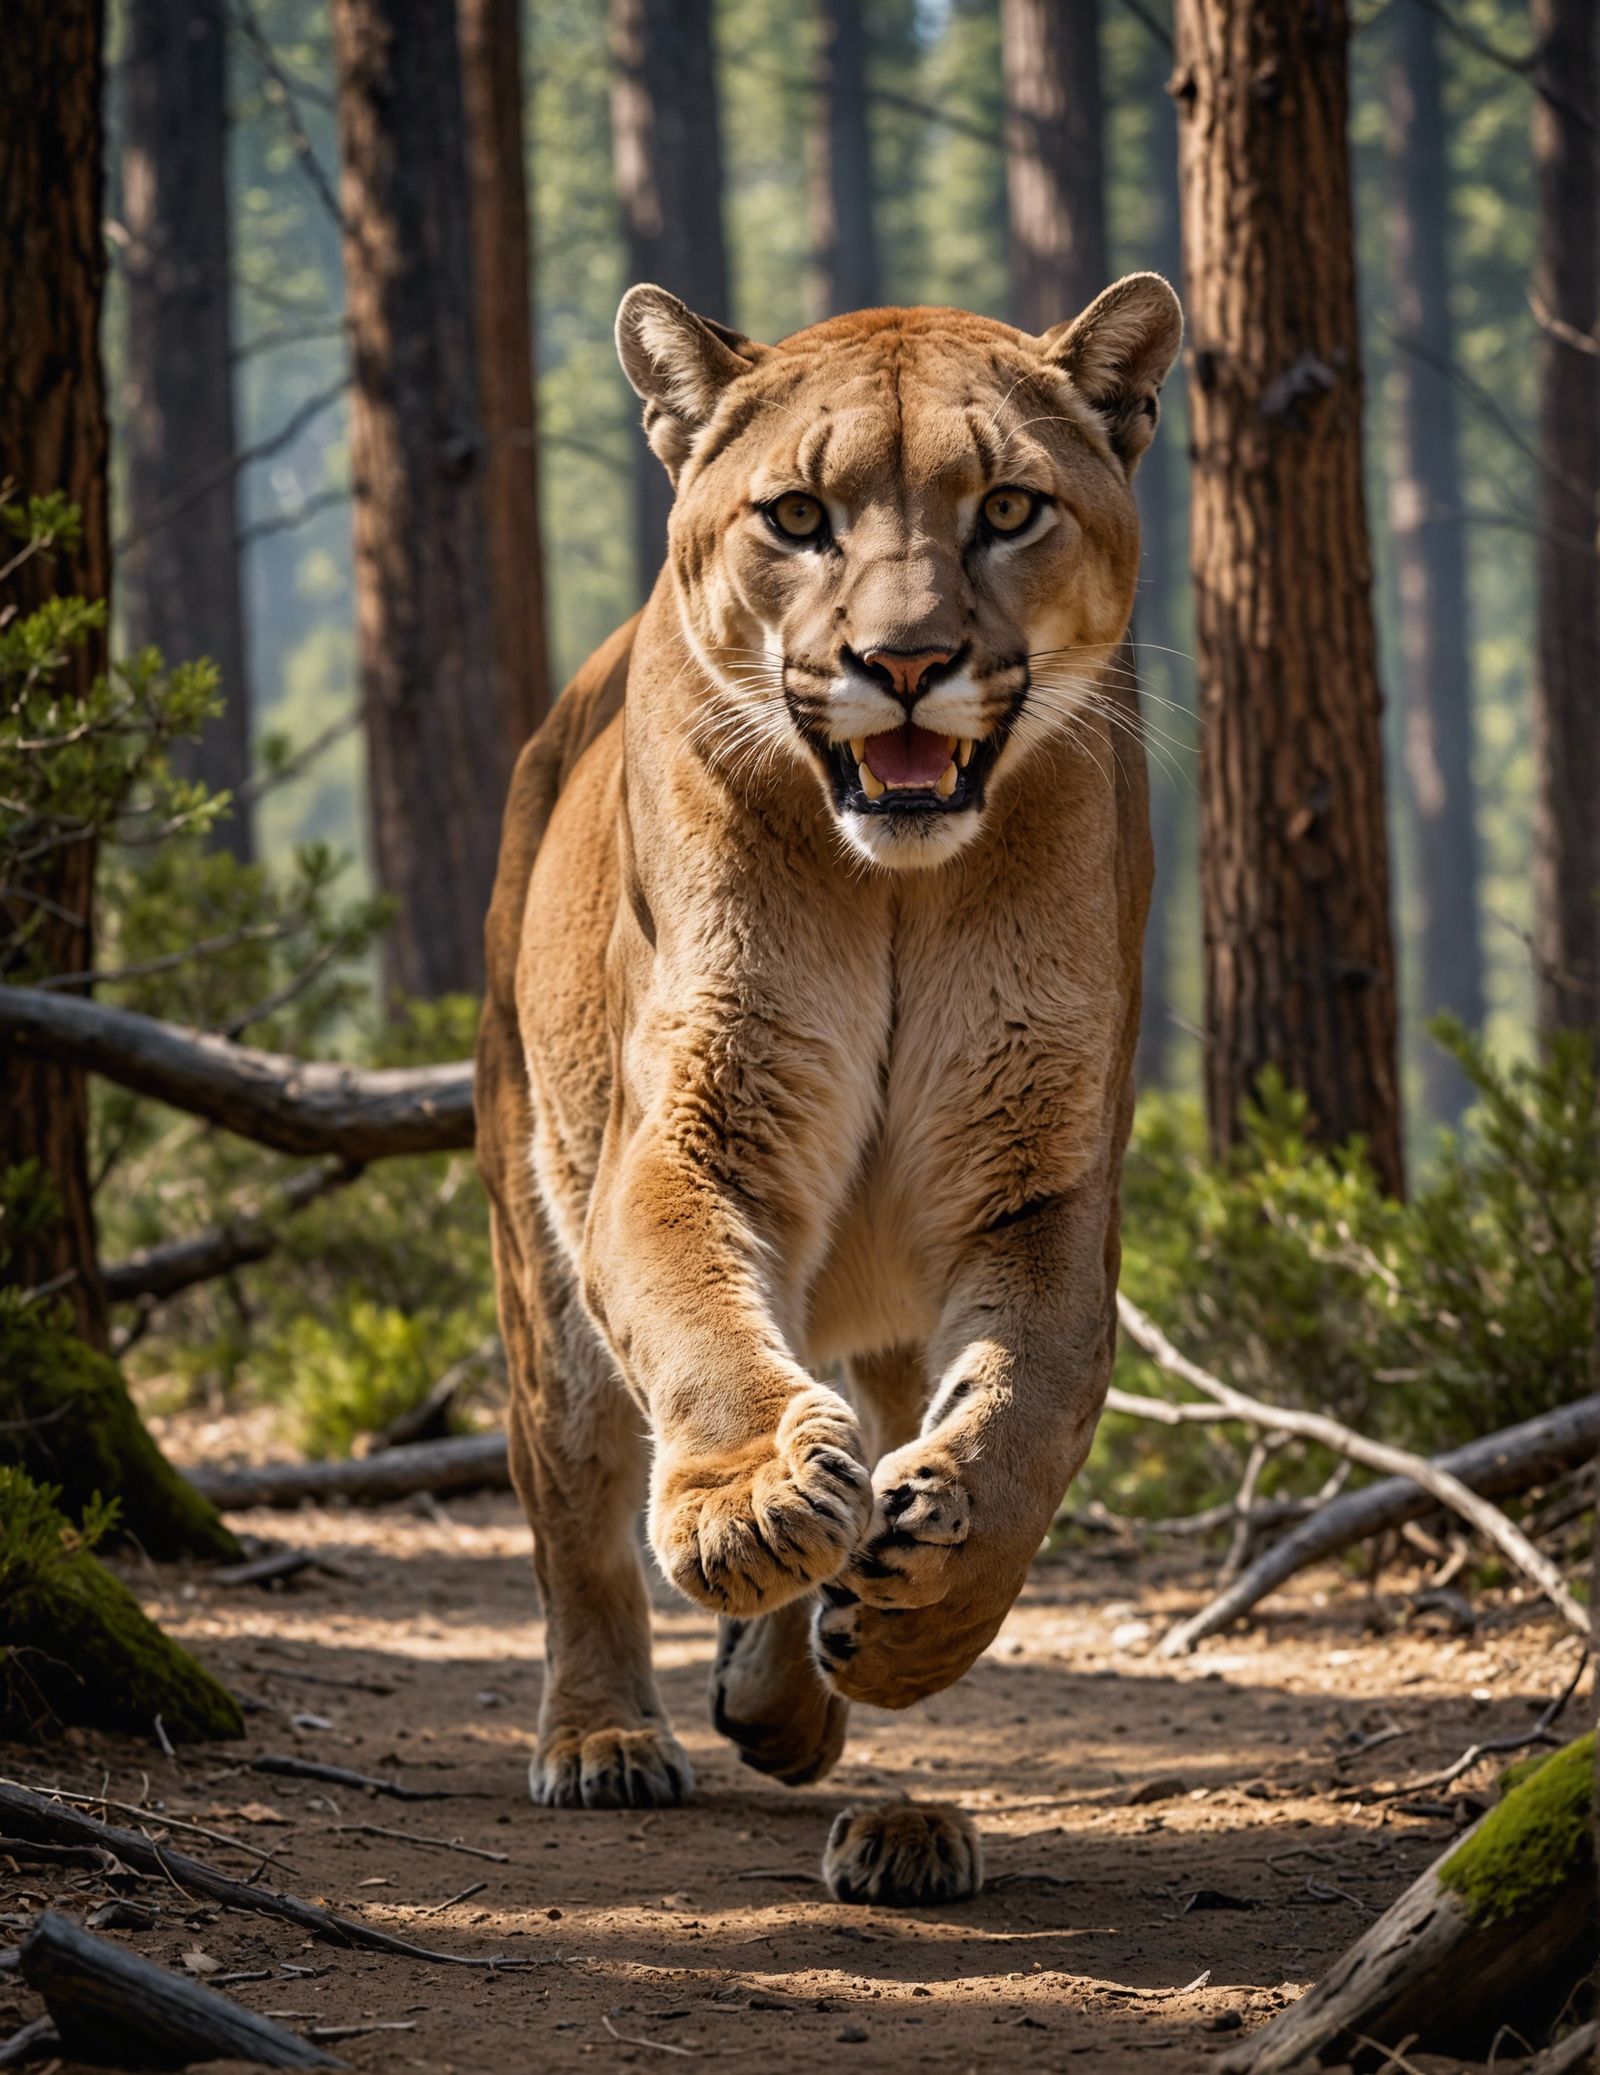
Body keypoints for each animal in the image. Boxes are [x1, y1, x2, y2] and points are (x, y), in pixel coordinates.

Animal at [475, 274, 1182, 1906]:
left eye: (1006, 507)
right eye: (797, 515)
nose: (905, 662)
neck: (899, 893)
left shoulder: (1040, 1172)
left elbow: (1037, 1399)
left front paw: (925, 1601)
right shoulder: (687, 1138)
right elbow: (697, 1319)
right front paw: (749, 1506)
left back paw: (791, 1692)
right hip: (538, 1243)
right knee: (576, 1504)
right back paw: (607, 1733)